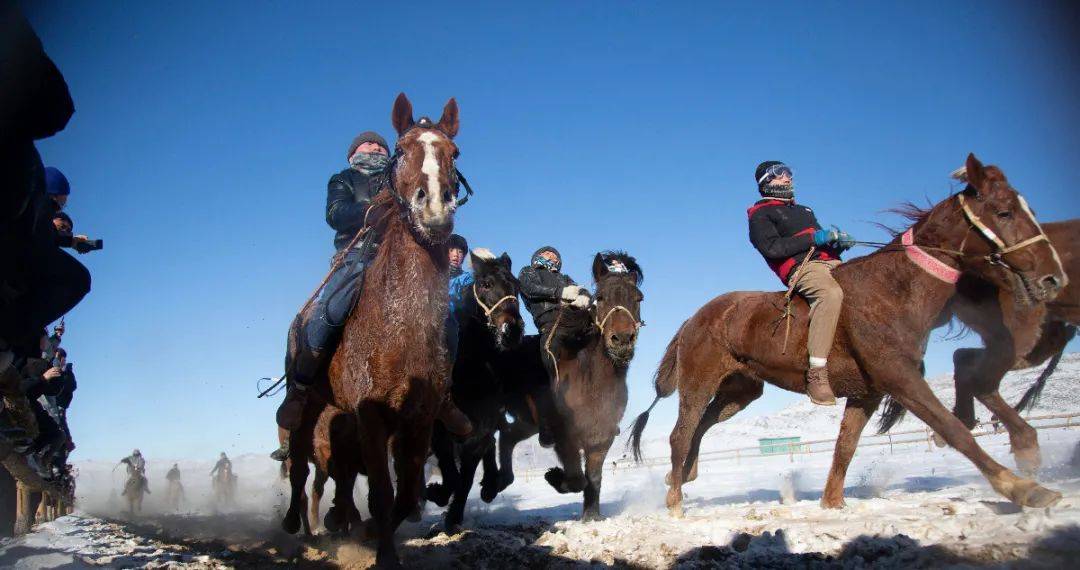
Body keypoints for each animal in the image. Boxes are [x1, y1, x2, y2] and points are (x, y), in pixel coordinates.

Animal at [421, 247, 522, 531]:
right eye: (486, 284)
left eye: (517, 286)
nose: (512, 331)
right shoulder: (439, 429)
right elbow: (453, 475)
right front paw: (437, 494)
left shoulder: (482, 427)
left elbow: (465, 476)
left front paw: (453, 516)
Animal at [630, 152, 1067, 516]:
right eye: (1004, 211)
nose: (1053, 278)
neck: (893, 289)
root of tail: (694, 318)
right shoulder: (901, 378)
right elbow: (953, 429)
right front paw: (1023, 489)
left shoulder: (867, 393)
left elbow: (845, 447)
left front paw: (832, 503)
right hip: (699, 382)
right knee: (680, 434)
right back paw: (675, 500)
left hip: (740, 390)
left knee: (704, 424)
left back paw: (683, 474)